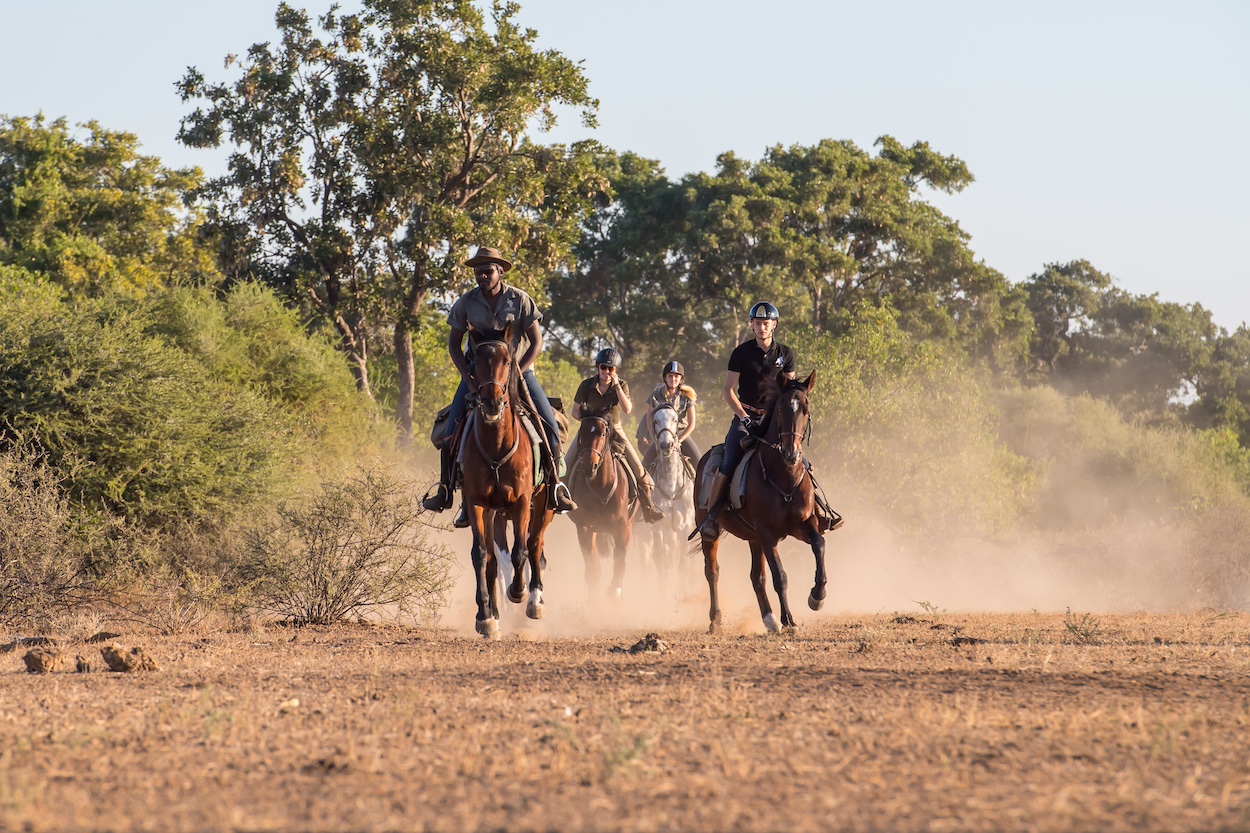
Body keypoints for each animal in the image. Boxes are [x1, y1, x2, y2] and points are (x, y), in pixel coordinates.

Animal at [460, 325, 552, 635]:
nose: (491, 402)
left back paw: (534, 601)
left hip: (545, 505)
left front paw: (519, 592)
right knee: (492, 559)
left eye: (508, 361)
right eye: (474, 362)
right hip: (492, 513)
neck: (497, 446)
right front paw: (485, 617)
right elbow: (481, 556)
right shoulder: (477, 503)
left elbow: (521, 551)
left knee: (535, 545)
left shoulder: (522, 502)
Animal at [567, 410, 635, 597]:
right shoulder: (584, 528)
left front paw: (614, 593)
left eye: (603, 433)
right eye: (582, 432)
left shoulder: (622, 527)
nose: (590, 465)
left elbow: (619, 561)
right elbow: (593, 570)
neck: (601, 486)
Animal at [645, 402, 695, 587]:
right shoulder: (660, 528)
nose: (666, 444)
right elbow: (663, 564)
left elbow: (684, 565)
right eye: (655, 420)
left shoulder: (685, 527)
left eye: (675, 419)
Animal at [695, 367, 830, 630]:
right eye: (781, 410)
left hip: (754, 538)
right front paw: (789, 620)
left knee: (756, 577)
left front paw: (817, 597)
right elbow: (780, 576)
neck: (783, 479)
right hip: (713, 532)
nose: (791, 453)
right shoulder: (768, 533)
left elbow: (819, 545)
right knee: (712, 571)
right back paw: (716, 620)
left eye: (806, 409)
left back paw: (769, 620)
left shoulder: (803, 524)